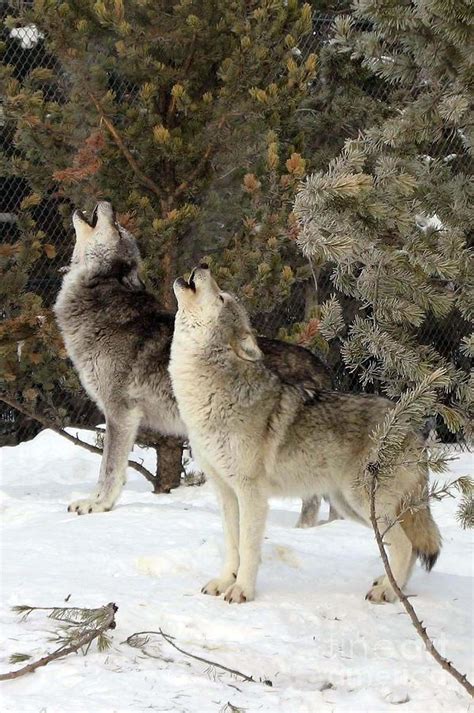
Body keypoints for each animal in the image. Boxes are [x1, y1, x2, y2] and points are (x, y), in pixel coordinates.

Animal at [54, 201, 333, 522]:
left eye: (118, 229)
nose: (108, 204)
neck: (98, 296)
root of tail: (322, 368)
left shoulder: (120, 412)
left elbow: (109, 468)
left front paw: (97, 505)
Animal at [168, 265, 441, 604]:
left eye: (220, 297)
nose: (202, 267)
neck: (206, 396)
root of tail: (409, 425)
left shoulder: (251, 493)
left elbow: (248, 547)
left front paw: (242, 591)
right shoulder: (225, 491)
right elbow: (232, 544)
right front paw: (223, 582)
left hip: (364, 503)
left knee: (406, 546)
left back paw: (389, 593)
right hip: (351, 507)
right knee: (406, 548)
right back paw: (389, 586)